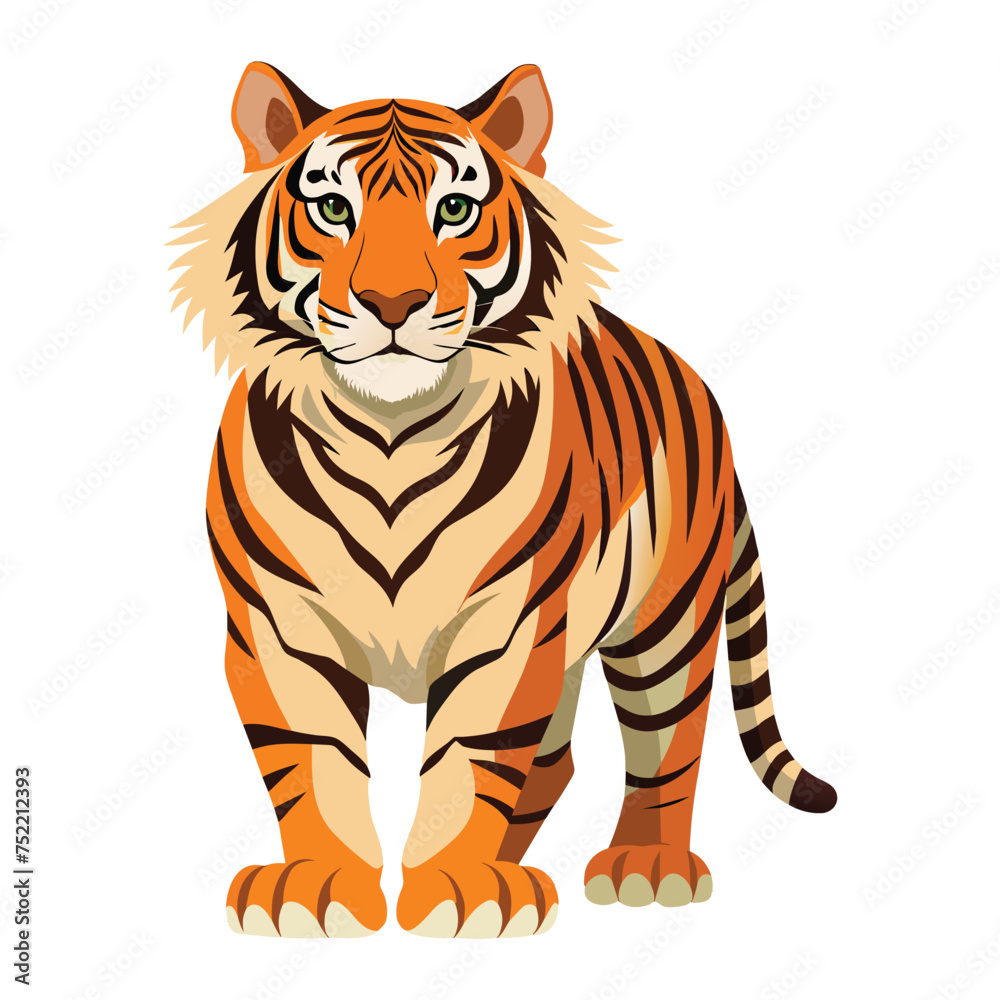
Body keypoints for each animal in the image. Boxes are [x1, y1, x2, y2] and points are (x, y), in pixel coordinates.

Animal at [169, 62, 837, 940]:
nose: (392, 303)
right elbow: (311, 756)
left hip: (665, 617)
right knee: (553, 761)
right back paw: (518, 863)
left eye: (453, 211)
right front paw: (320, 886)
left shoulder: (509, 626)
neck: (387, 435)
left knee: (666, 742)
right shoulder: (280, 626)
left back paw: (646, 867)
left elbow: (470, 753)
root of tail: (701, 386)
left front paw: (458, 887)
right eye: (334, 211)